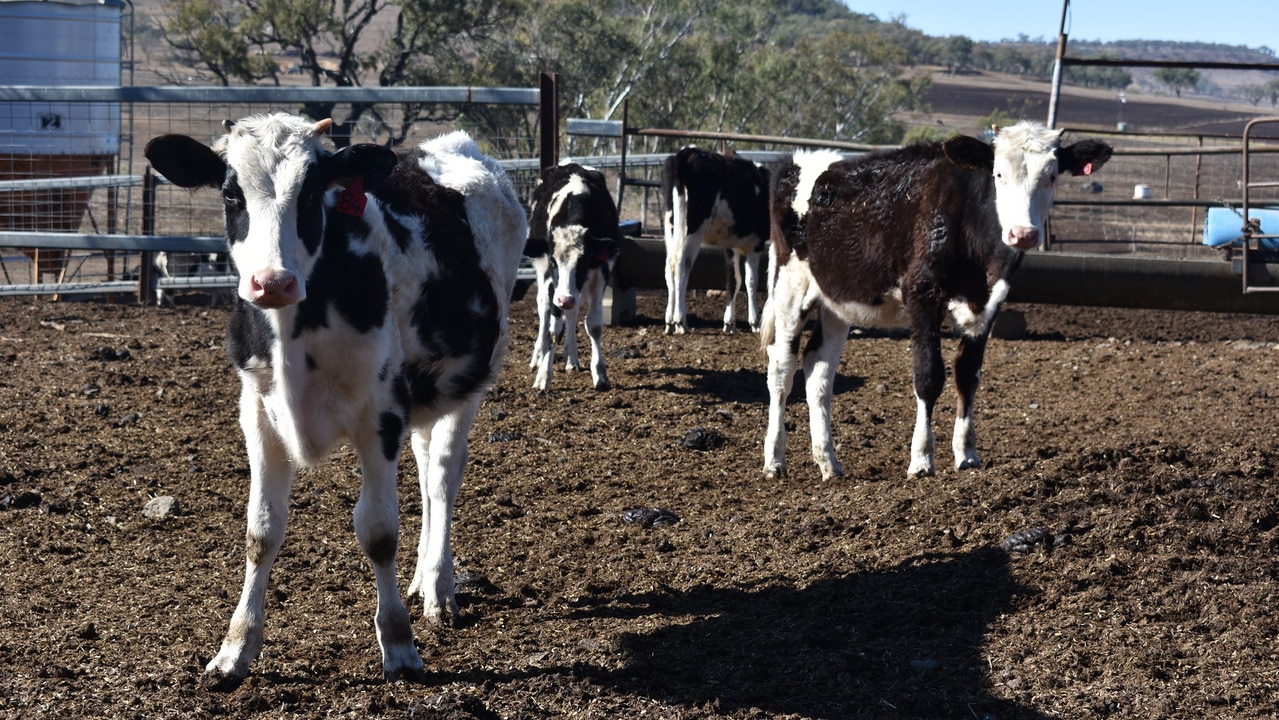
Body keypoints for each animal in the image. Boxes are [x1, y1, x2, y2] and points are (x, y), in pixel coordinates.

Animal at [147, 113, 526, 685]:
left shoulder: (380, 415)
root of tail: (453, 146)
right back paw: (422, 579)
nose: (272, 282)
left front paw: (399, 643)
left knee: (442, 473)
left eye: (310, 195)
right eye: (231, 193)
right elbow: (261, 530)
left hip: (472, 375)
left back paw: (439, 587)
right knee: (423, 466)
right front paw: (235, 648)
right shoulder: (258, 415)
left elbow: (378, 531)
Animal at [519, 162, 619, 391]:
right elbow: (553, 328)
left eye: (583, 261)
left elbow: (594, 325)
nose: (565, 299)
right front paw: (543, 376)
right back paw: (539, 355)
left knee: (572, 313)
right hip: (544, 277)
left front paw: (600, 374)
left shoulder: (600, 273)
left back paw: (571, 357)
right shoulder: (551, 280)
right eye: (553, 261)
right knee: (544, 308)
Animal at [659, 148, 767, 337]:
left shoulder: (732, 247)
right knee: (681, 265)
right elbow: (752, 281)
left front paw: (729, 323)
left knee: (669, 267)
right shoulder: (757, 244)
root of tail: (685, 153)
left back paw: (669, 322)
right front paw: (755, 322)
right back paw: (681, 322)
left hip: (671, 226)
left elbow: (734, 281)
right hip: (693, 228)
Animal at [757, 123, 1110, 480]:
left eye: (1051, 176)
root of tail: (795, 160)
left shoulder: (988, 306)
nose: (1022, 233)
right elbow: (928, 377)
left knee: (818, 370)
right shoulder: (922, 295)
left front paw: (967, 453)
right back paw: (774, 459)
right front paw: (922, 459)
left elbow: (967, 376)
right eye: (998, 174)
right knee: (781, 370)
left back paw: (828, 462)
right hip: (789, 286)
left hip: (836, 299)